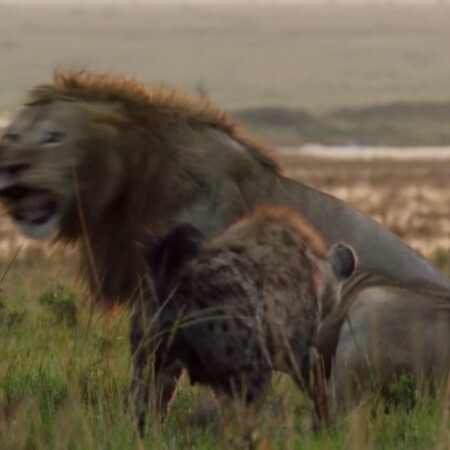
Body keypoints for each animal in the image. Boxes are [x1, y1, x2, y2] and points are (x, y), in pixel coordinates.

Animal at [0, 68, 448, 420]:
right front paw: (137, 423)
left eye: (52, 138)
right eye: (14, 135)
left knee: (339, 413)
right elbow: (147, 376)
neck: (131, 184)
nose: (11, 166)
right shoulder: (150, 300)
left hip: (373, 299)